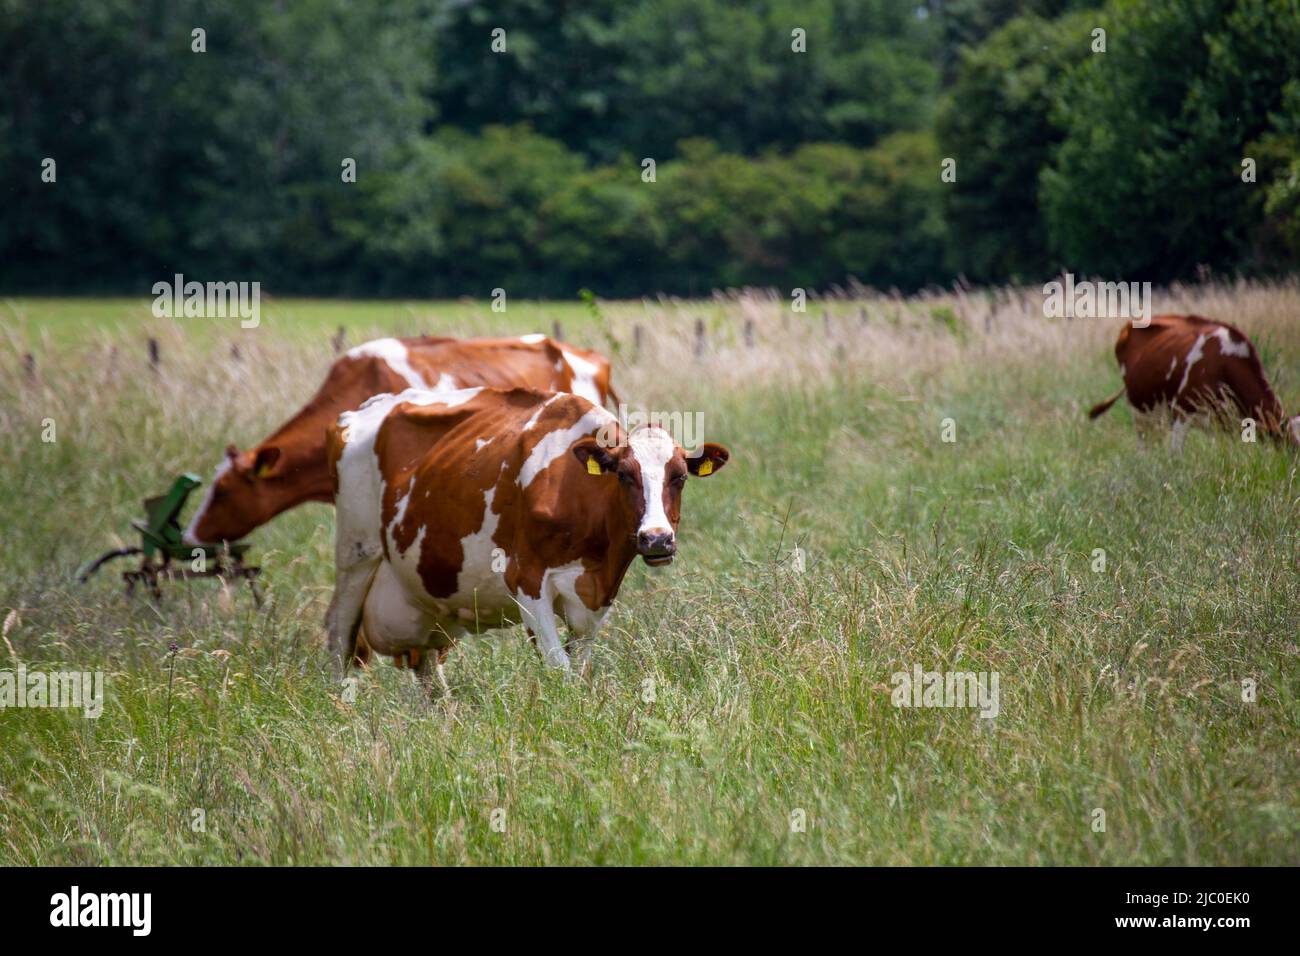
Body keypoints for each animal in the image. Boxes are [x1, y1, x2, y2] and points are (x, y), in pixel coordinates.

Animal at [325, 382, 733, 686]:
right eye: (623, 475)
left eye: (679, 477)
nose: (657, 538)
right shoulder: (526, 580)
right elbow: (560, 671)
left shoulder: (597, 597)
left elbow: (579, 669)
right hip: (356, 555)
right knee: (339, 636)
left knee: (426, 668)